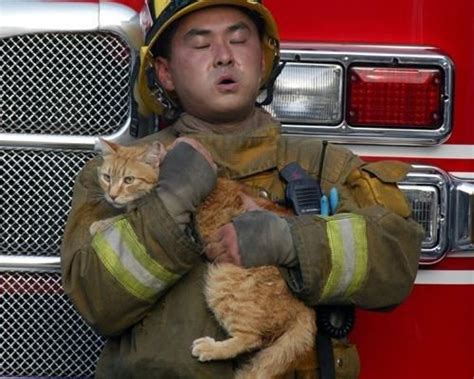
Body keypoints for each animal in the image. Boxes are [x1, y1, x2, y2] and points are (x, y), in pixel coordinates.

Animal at [93, 140, 318, 379]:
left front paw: (99, 224)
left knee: (251, 338)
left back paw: (211, 348)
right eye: (107, 177)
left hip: (222, 278)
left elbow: (124, 217)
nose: (112, 195)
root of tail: (306, 307)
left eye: (129, 180)